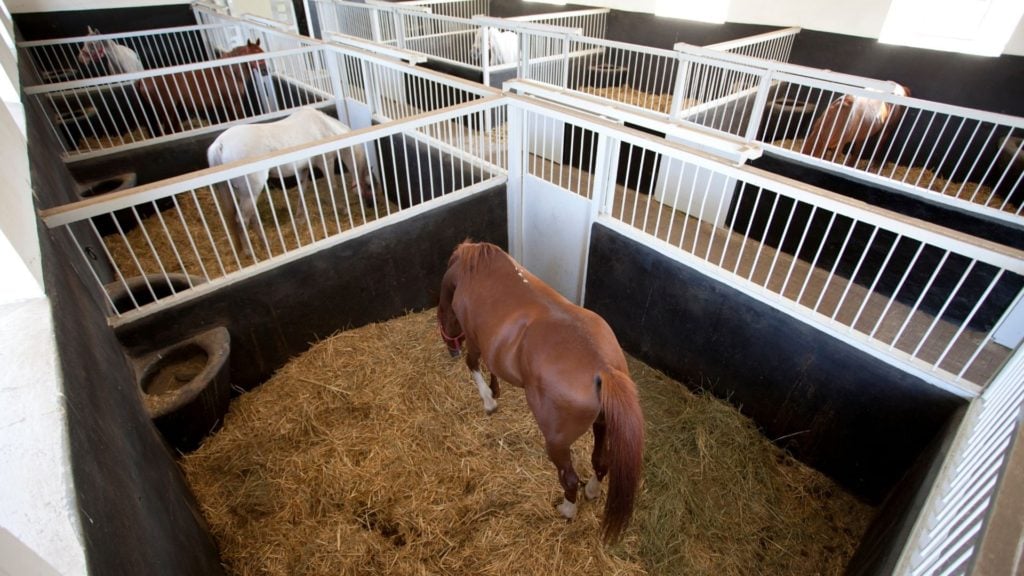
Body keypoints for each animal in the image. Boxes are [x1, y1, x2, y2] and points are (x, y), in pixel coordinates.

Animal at [135, 39, 268, 135]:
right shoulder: (234, 102)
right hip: (167, 109)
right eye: (253, 55)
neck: (228, 73)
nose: (265, 71)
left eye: (262, 53)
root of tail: (142, 81)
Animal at [205, 109, 374, 255]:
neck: (324, 126)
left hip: (243, 192)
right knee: (242, 220)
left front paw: (300, 218)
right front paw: (342, 209)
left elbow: (302, 191)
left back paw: (265, 243)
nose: (372, 205)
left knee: (251, 217)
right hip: (251, 191)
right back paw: (249, 252)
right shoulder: (326, 161)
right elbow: (333, 186)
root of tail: (219, 145)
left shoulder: (303, 169)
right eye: (370, 185)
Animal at [436, 239, 643, 541]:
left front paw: (489, 401)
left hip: (556, 443)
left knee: (569, 478)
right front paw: (495, 391)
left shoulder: (474, 339)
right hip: (603, 425)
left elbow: (473, 365)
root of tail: (603, 367)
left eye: (442, 318)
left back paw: (567, 510)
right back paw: (592, 491)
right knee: (600, 462)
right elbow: (492, 368)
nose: (450, 349)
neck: (474, 271)